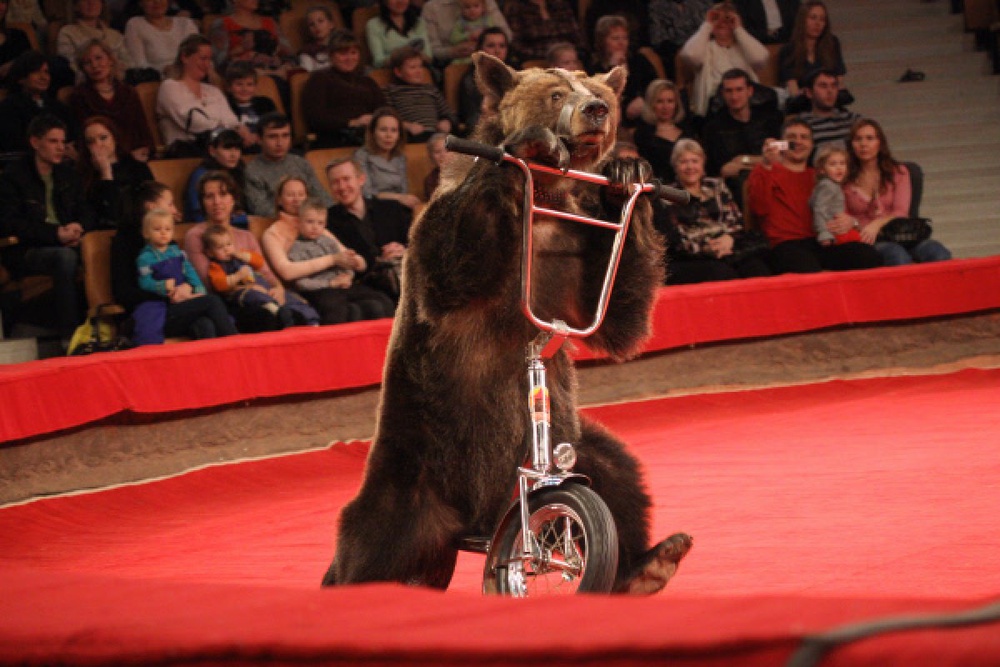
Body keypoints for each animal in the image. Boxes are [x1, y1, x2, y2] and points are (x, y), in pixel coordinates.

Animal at [324, 53, 692, 596]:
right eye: (556, 94)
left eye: (598, 90)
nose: (597, 110)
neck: (546, 198)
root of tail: (467, 526)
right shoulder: (455, 245)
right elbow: (452, 261)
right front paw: (529, 146)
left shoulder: (573, 250)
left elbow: (619, 318)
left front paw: (631, 173)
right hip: (414, 465)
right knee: (375, 542)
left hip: (569, 445)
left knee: (616, 475)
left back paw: (649, 563)